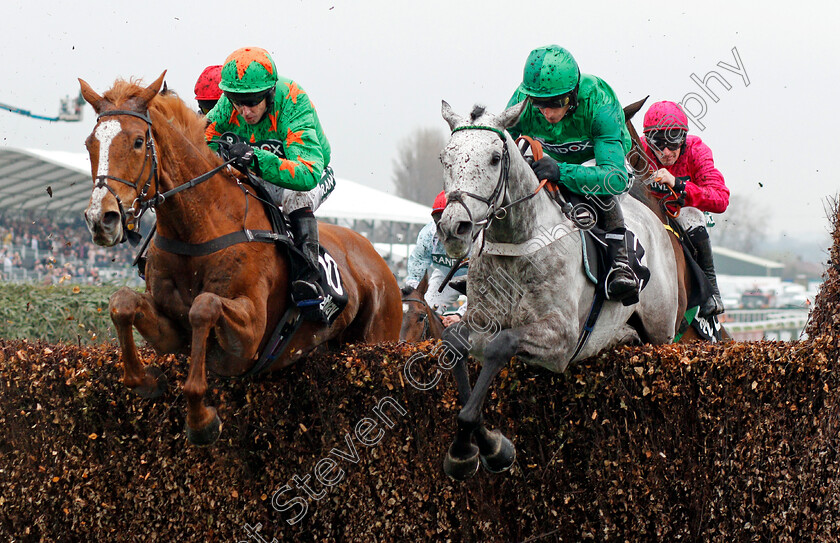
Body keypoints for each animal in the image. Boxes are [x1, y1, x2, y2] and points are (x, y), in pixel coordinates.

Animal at [79, 72, 404, 446]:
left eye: (136, 142)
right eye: (90, 144)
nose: (101, 219)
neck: (199, 227)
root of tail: (379, 260)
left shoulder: (248, 339)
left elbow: (203, 307)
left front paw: (201, 421)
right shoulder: (171, 332)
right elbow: (123, 303)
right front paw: (145, 379)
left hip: (377, 338)